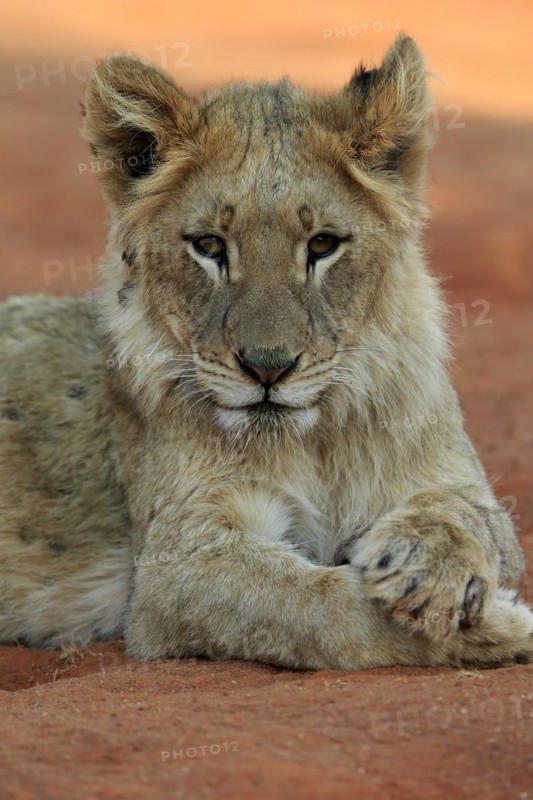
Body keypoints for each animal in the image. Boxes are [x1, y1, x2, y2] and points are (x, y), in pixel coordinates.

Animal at [0, 35, 531, 670]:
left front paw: (428, 564)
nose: (268, 369)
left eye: (323, 244)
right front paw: (501, 628)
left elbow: (472, 516)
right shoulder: (174, 567)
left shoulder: (458, 480)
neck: (317, 441)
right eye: (209, 246)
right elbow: (315, 605)